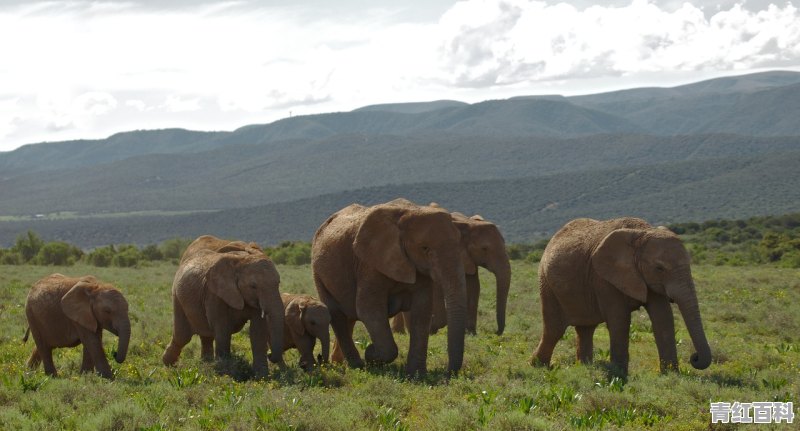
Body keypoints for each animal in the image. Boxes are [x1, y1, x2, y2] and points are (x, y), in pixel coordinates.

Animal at [161, 236, 286, 378]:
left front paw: (262, 377)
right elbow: (222, 328)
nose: (271, 355)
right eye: (253, 286)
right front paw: (225, 375)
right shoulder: (214, 293)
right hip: (177, 295)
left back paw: (206, 364)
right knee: (182, 336)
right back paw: (168, 365)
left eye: (278, 283)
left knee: (206, 335)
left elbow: (258, 331)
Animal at [312, 199, 472, 378]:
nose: (448, 373)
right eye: (424, 248)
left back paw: (342, 362)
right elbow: (369, 309)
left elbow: (422, 310)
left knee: (349, 317)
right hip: (318, 272)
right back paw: (357, 365)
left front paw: (416, 376)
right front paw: (372, 354)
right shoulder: (369, 264)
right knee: (337, 315)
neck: (411, 212)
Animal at [390, 208, 510, 336]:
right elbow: (437, 287)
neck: (469, 224)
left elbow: (473, 286)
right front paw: (433, 328)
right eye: (484, 249)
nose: (495, 332)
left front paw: (470, 333)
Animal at [532, 218, 712, 376]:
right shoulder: (603, 278)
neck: (642, 232)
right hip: (546, 283)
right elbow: (620, 320)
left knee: (586, 329)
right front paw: (618, 374)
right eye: (659, 268)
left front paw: (671, 374)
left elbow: (663, 318)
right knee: (554, 329)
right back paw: (539, 366)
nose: (694, 358)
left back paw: (584, 367)